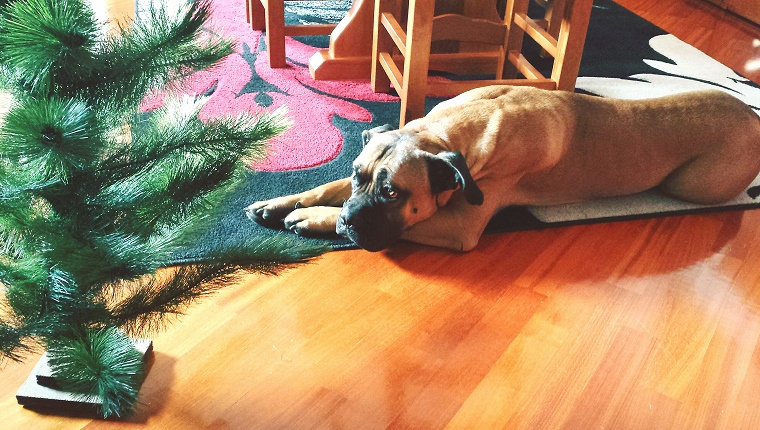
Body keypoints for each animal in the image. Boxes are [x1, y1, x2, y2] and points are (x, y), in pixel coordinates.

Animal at [245, 85, 760, 252]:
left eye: (393, 194)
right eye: (359, 176)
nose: (353, 220)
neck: (447, 136)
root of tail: (753, 115)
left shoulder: (457, 225)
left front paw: (317, 219)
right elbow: (326, 186)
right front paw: (283, 201)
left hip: (692, 186)